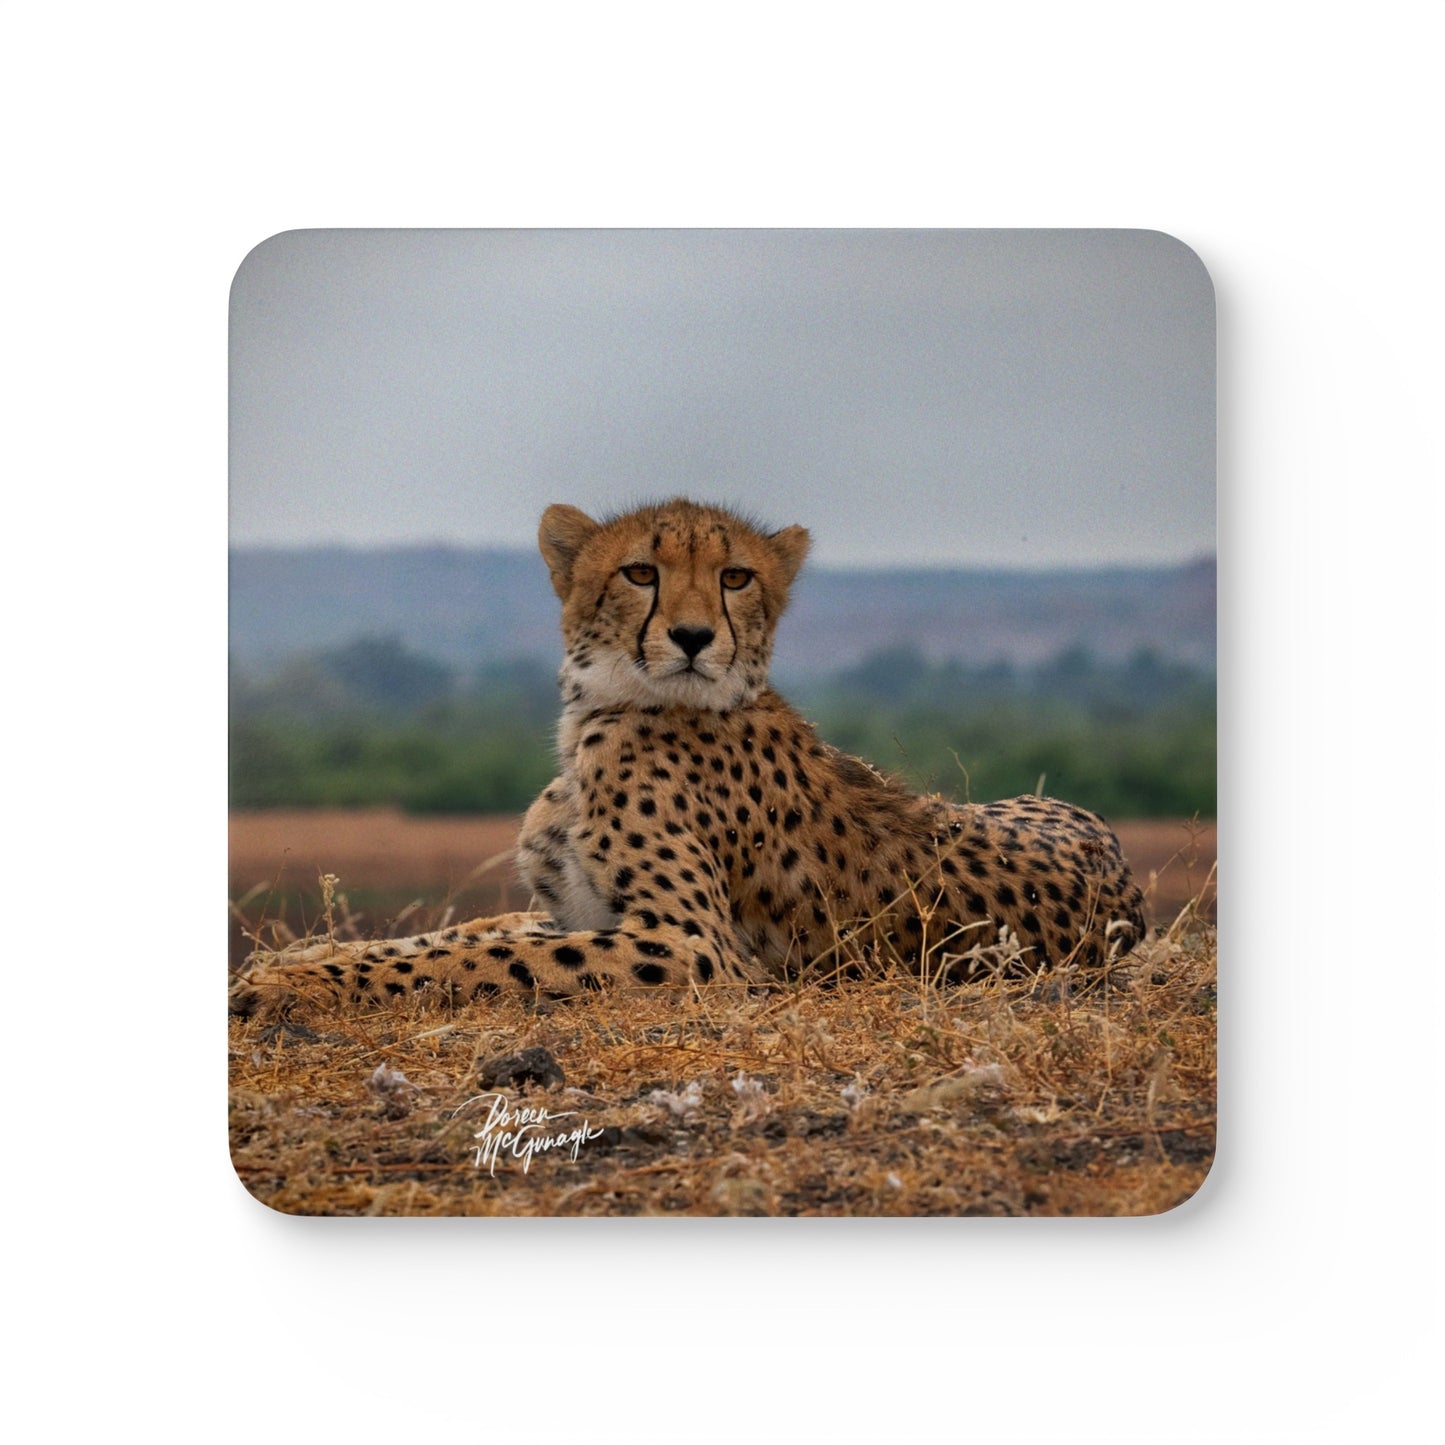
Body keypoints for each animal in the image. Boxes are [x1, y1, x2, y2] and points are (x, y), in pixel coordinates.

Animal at [230, 498, 1146, 1017]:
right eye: (640, 571)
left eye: (736, 576)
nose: (695, 635)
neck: (601, 711)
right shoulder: (579, 909)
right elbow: (459, 935)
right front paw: (292, 961)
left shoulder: (691, 945)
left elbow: (476, 957)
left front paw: (291, 985)